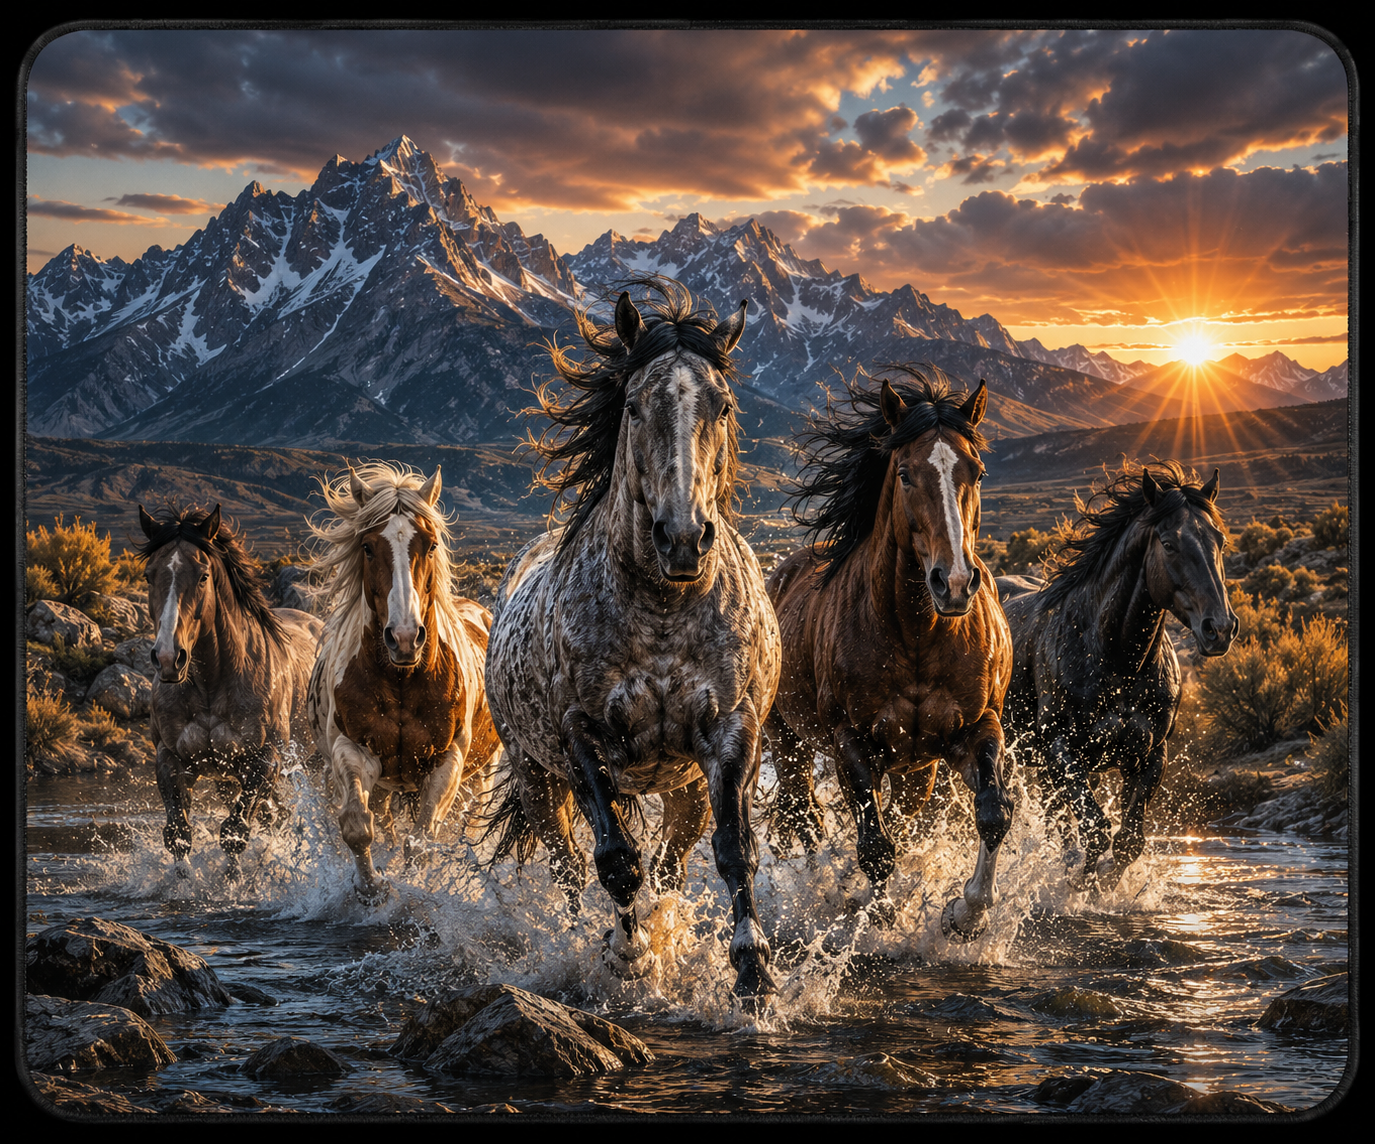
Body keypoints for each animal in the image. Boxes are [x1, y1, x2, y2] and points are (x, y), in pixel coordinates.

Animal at [137, 503, 322, 878]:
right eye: (149, 575)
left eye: (203, 575)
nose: (168, 658)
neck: (211, 685)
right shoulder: (170, 758)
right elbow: (178, 834)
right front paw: (184, 882)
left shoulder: (263, 760)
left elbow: (235, 833)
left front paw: (234, 881)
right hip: (226, 776)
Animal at [306, 462, 501, 901]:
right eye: (366, 547)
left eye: (429, 545)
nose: (405, 637)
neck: (401, 682)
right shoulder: (353, 751)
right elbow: (357, 827)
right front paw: (373, 887)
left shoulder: (447, 763)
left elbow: (422, 842)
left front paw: (415, 891)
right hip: (386, 787)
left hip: (480, 778)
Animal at [483, 278, 782, 1002]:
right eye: (633, 405)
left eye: (723, 405)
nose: (682, 538)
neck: (664, 612)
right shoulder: (581, 735)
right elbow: (616, 860)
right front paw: (627, 951)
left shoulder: (729, 734)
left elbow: (734, 852)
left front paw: (752, 966)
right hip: (537, 778)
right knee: (568, 868)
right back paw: (588, 939)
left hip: (682, 787)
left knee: (672, 864)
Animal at [766, 367, 1015, 942]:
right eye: (904, 474)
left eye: (978, 472)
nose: (955, 583)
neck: (919, 636)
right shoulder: (851, 741)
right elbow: (876, 845)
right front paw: (879, 916)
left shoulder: (978, 726)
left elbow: (993, 813)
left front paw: (965, 914)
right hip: (787, 743)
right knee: (803, 818)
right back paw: (823, 893)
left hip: (915, 767)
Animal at [1002, 462, 1237, 890]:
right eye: (1169, 543)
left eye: (1221, 541)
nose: (1220, 629)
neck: (1118, 662)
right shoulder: (1063, 751)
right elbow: (1095, 832)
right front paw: (1078, 885)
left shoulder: (1148, 755)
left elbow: (1128, 841)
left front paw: (1106, 887)